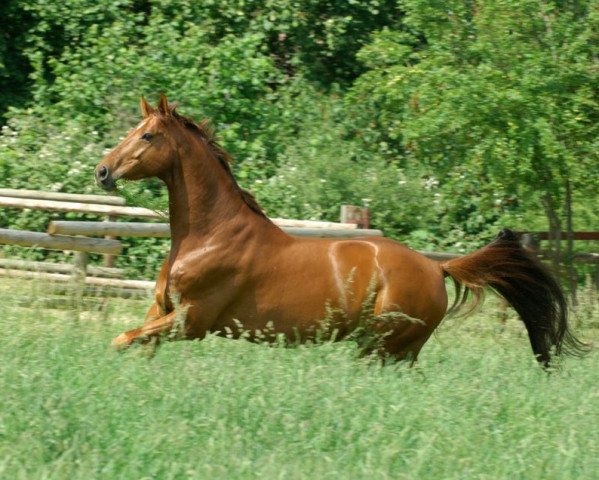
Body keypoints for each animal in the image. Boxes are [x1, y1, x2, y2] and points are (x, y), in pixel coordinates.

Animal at [97, 95, 584, 366]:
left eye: (147, 136)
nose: (103, 171)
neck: (209, 237)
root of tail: (436, 268)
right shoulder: (160, 311)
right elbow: (135, 344)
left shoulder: (191, 319)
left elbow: (119, 341)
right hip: (395, 351)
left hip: (383, 346)